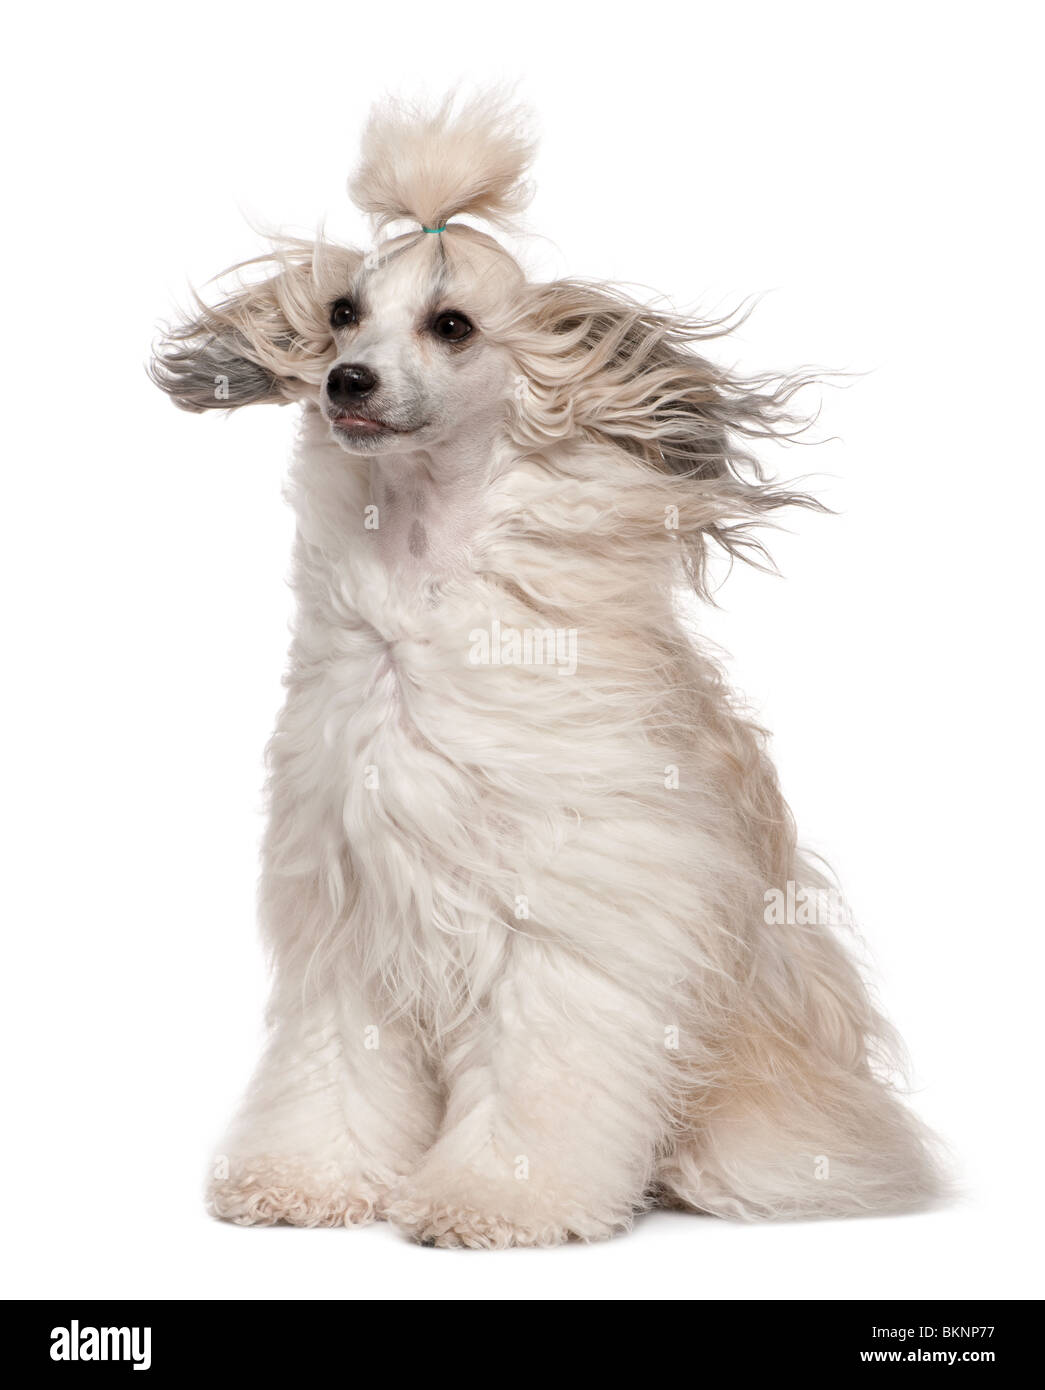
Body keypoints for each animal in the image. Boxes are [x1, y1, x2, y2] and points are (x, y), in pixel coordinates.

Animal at [150, 97, 944, 1251]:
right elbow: (333, 1073)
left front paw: (494, 1200)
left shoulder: (560, 925)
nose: (346, 381)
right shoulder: (349, 926)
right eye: (343, 313)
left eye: (451, 325)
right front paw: (306, 1178)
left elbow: (539, 1081)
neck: (423, 590)